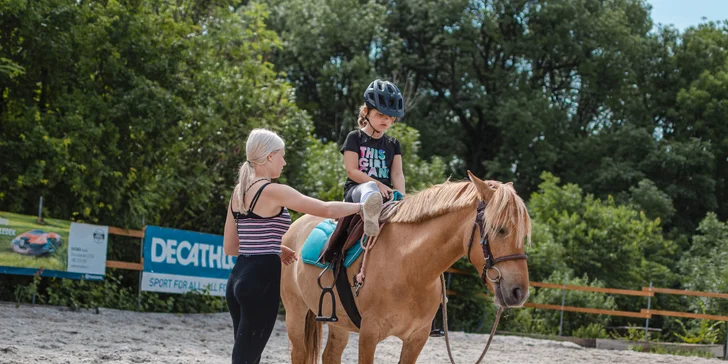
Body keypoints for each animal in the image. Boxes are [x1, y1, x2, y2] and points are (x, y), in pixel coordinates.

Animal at [282, 172, 532, 362]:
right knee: (299, 353)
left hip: (340, 324)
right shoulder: (369, 335)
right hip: (295, 312)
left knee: (330, 355)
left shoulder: (416, 339)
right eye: (499, 229)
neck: (410, 268)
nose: (518, 292)